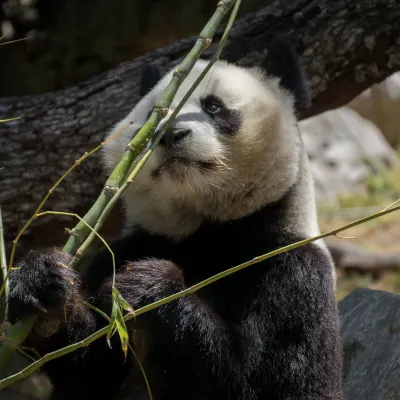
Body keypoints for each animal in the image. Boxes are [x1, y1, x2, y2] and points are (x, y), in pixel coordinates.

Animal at [7, 36, 344, 398]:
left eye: (213, 107)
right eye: (156, 114)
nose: (170, 134)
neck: (204, 228)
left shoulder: (290, 269)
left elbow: (277, 383)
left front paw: (150, 286)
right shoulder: (126, 250)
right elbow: (88, 367)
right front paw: (41, 283)